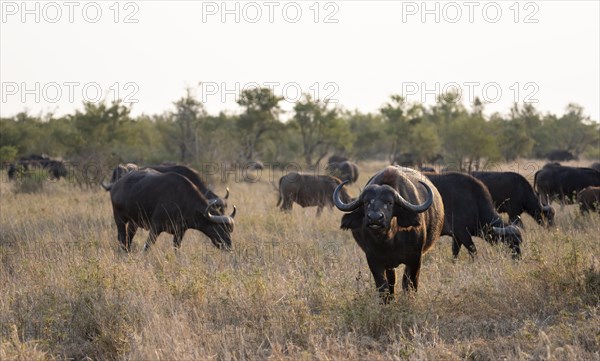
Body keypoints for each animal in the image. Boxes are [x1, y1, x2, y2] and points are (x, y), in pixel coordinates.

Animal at [336, 165, 442, 296]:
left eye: (390, 202)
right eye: (366, 202)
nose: (375, 218)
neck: (389, 240)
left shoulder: (415, 258)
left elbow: (410, 284)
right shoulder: (373, 259)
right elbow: (383, 286)